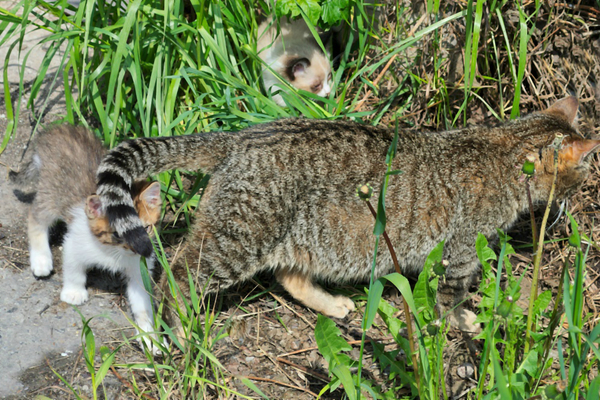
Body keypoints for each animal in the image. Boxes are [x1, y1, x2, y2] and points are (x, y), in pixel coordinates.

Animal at [96, 98, 600, 332]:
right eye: (583, 170)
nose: (581, 192)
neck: (502, 150)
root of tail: (240, 137)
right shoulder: (458, 254)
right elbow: (451, 299)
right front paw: (462, 321)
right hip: (237, 239)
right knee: (178, 273)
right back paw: (180, 330)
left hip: (301, 235)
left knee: (290, 275)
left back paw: (333, 303)